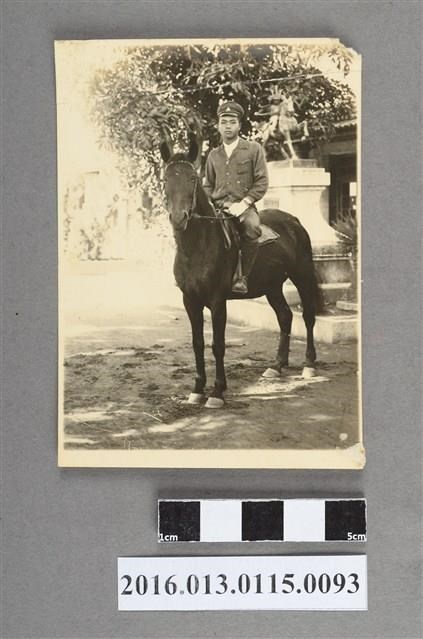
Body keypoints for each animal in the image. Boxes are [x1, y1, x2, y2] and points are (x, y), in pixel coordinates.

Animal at [160, 137, 322, 408]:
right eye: (166, 179)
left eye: (192, 178)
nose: (178, 218)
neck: (197, 247)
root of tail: (293, 221)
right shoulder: (190, 301)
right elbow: (197, 343)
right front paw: (197, 389)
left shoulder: (217, 301)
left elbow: (218, 344)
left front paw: (217, 391)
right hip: (272, 286)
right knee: (285, 316)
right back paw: (277, 366)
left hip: (302, 276)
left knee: (308, 316)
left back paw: (309, 364)